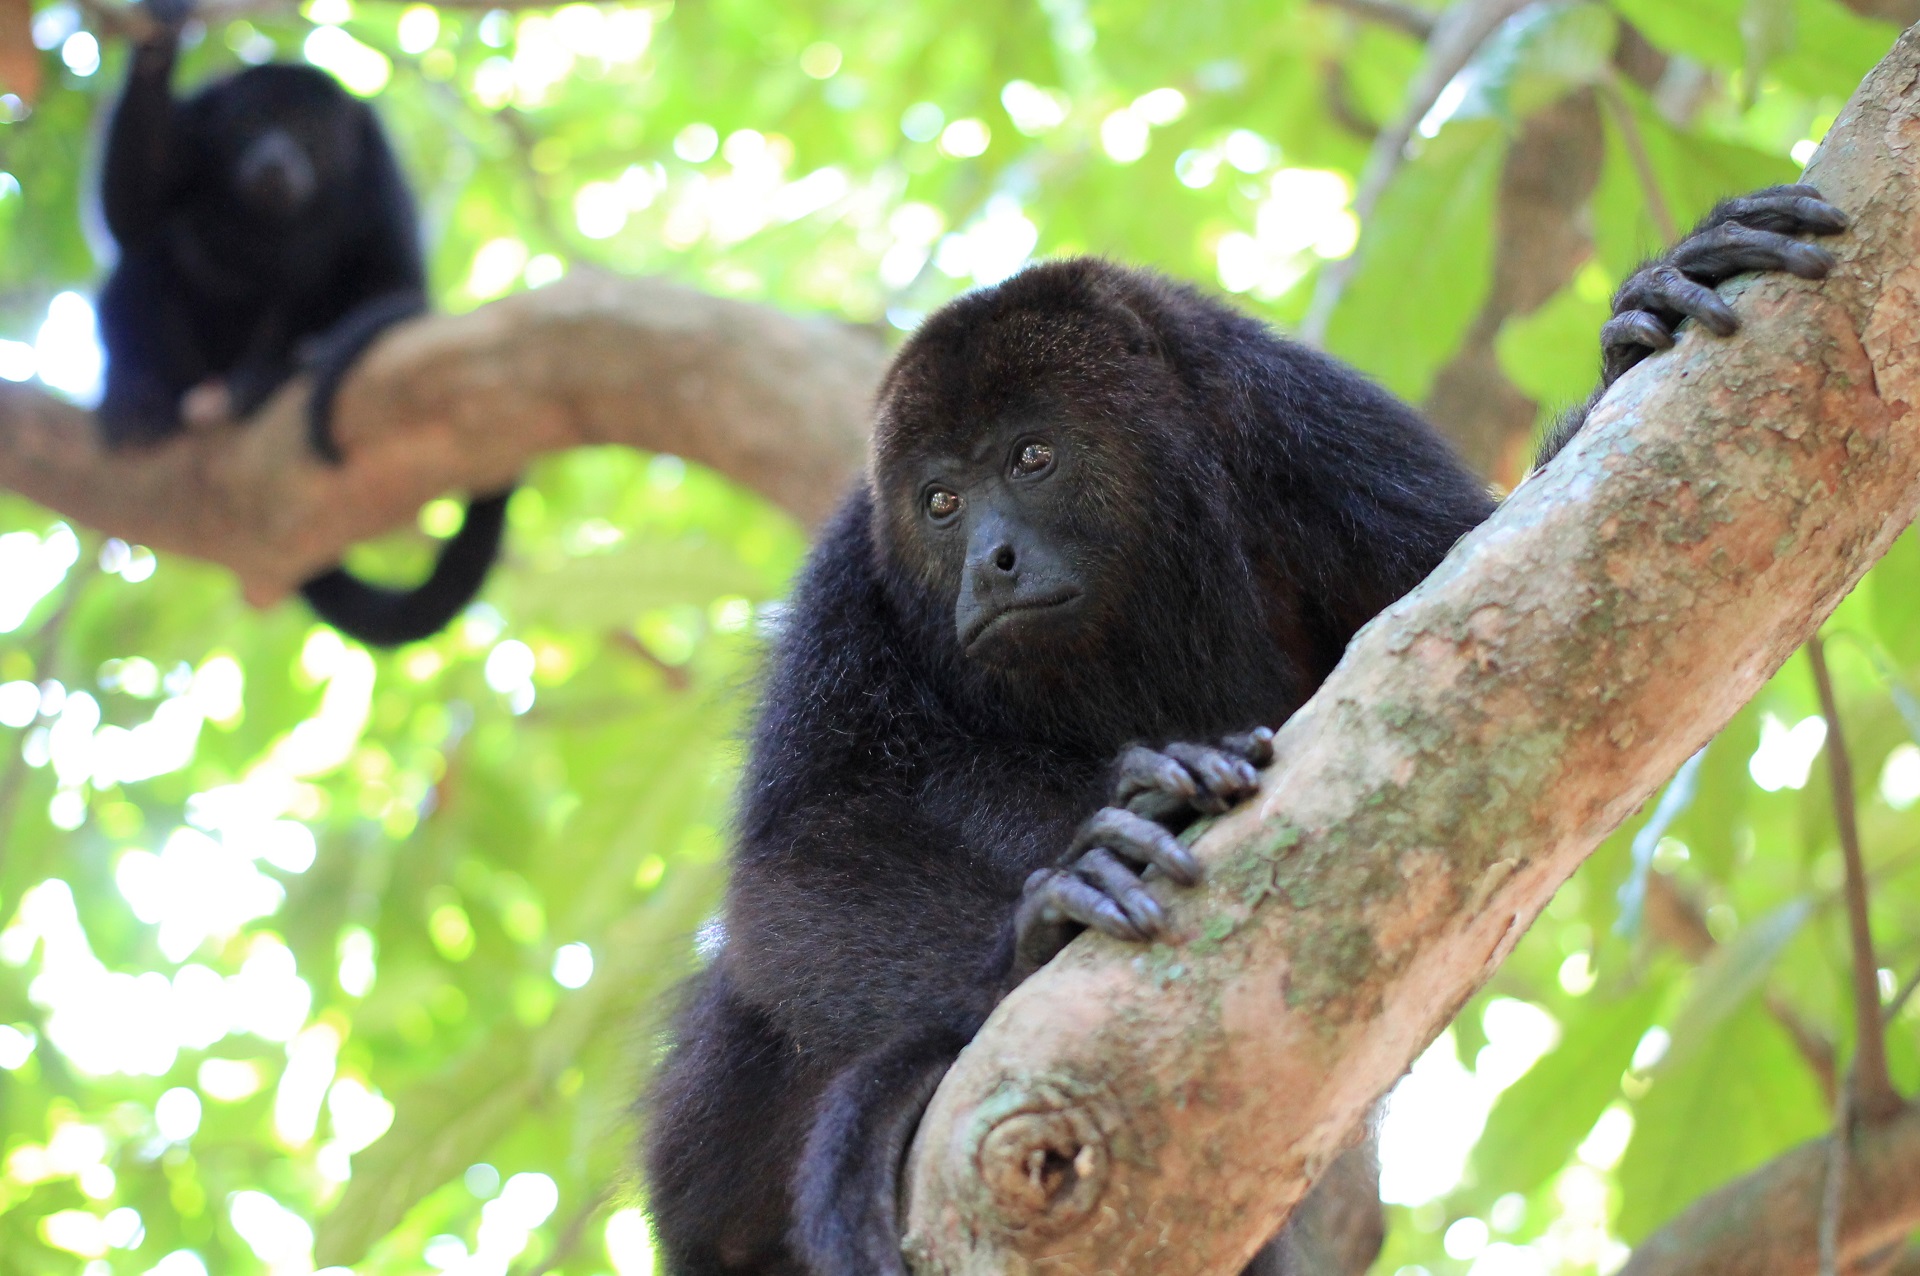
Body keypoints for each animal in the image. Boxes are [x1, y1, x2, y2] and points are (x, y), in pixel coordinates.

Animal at [91, 2, 510, 648]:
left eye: (307, 132)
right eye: (250, 124)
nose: (274, 156)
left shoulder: (377, 163)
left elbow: (396, 283)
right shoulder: (198, 119)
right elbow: (131, 216)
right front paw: (161, 33)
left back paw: (266, 380)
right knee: (147, 262)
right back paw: (136, 395)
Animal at [645, 181, 1843, 1274]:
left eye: (1032, 457)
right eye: (939, 502)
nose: (990, 560)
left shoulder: (1304, 425)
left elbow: (1515, 615)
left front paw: (1641, 325)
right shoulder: (852, 576)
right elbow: (794, 872)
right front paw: (1043, 922)